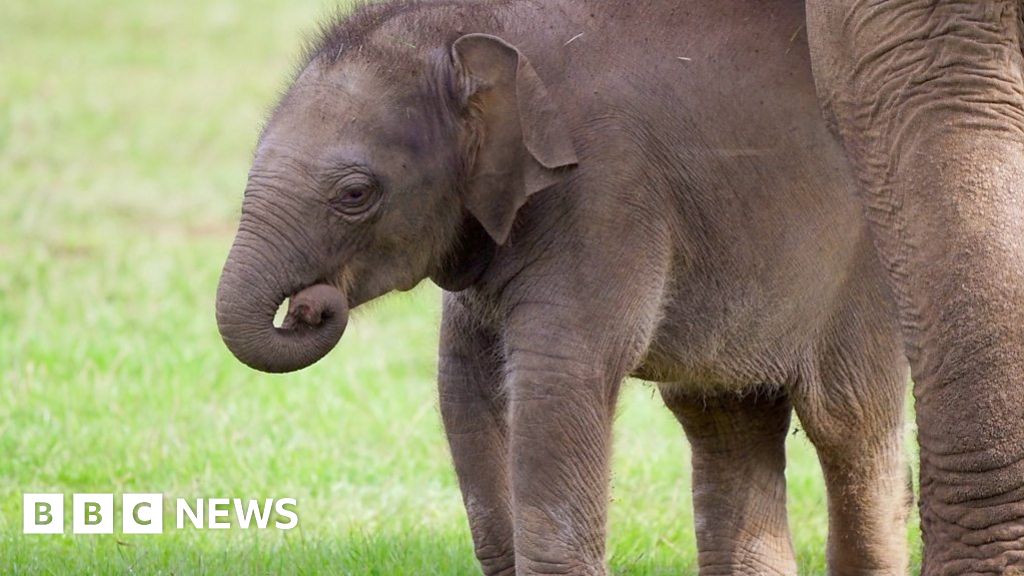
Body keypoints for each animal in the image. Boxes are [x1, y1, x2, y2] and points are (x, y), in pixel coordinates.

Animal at [214, 0, 1024, 574]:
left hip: (857, 277)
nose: (311, 305)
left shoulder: (604, 195)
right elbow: (463, 385)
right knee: (726, 423)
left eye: (355, 194)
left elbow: (558, 380)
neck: (482, 33)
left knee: (848, 426)